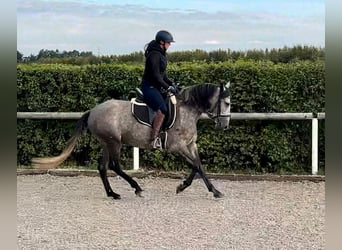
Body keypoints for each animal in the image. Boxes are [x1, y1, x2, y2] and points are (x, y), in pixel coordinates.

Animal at [32, 82, 231, 199]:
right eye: (227, 103)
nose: (225, 125)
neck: (187, 110)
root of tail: (93, 111)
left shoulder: (190, 145)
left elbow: (199, 166)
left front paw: (209, 189)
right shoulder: (177, 147)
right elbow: (196, 166)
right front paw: (189, 187)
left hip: (106, 143)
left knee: (103, 167)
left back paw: (113, 194)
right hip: (114, 142)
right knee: (114, 166)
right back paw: (136, 187)